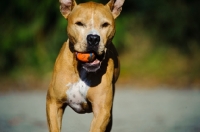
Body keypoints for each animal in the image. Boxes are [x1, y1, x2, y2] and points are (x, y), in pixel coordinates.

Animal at [46, 0, 125, 131]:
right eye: (79, 23)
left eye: (105, 24)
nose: (93, 38)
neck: (80, 69)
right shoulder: (53, 103)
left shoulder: (102, 111)